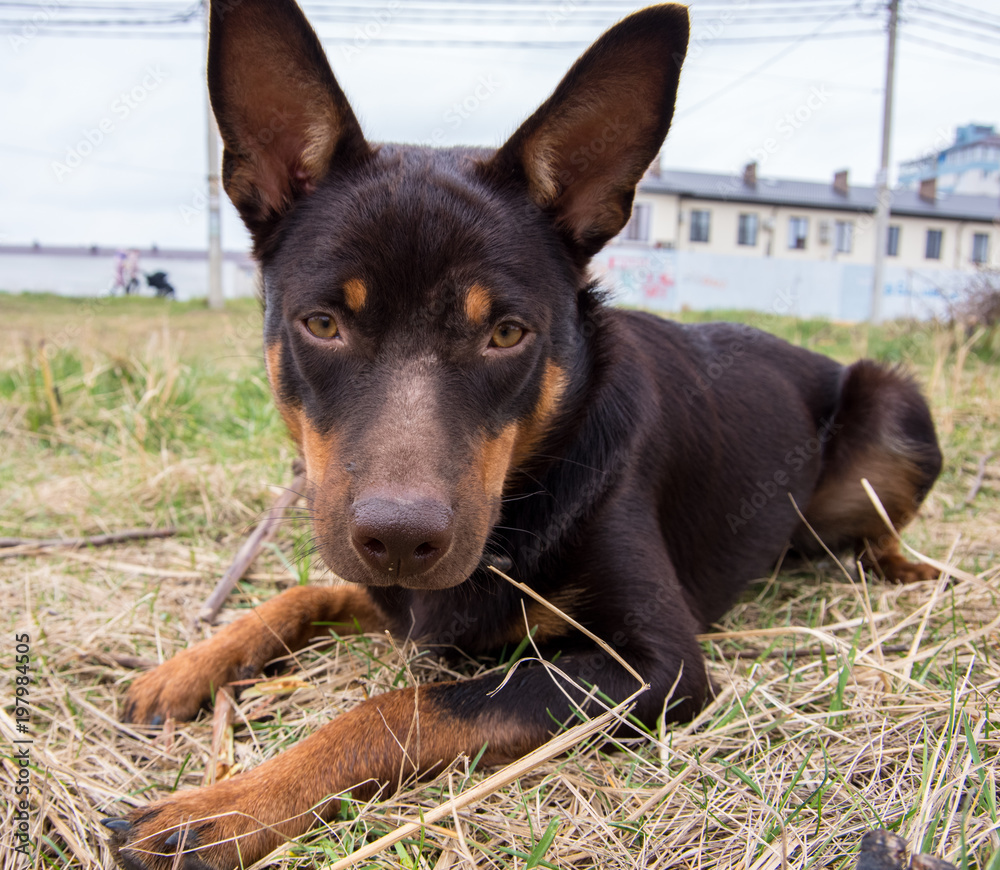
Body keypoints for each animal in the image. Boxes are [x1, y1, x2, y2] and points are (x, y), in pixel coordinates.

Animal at [97, 3, 940, 868]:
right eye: (323, 324)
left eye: (506, 333)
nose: (400, 540)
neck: (539, 470)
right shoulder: (399, 590)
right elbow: (303, 592)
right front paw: (187, 668)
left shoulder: (656, 667)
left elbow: (406, 706)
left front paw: (228, 806)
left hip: (896, 407)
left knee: (878, 528)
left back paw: (903, 568)